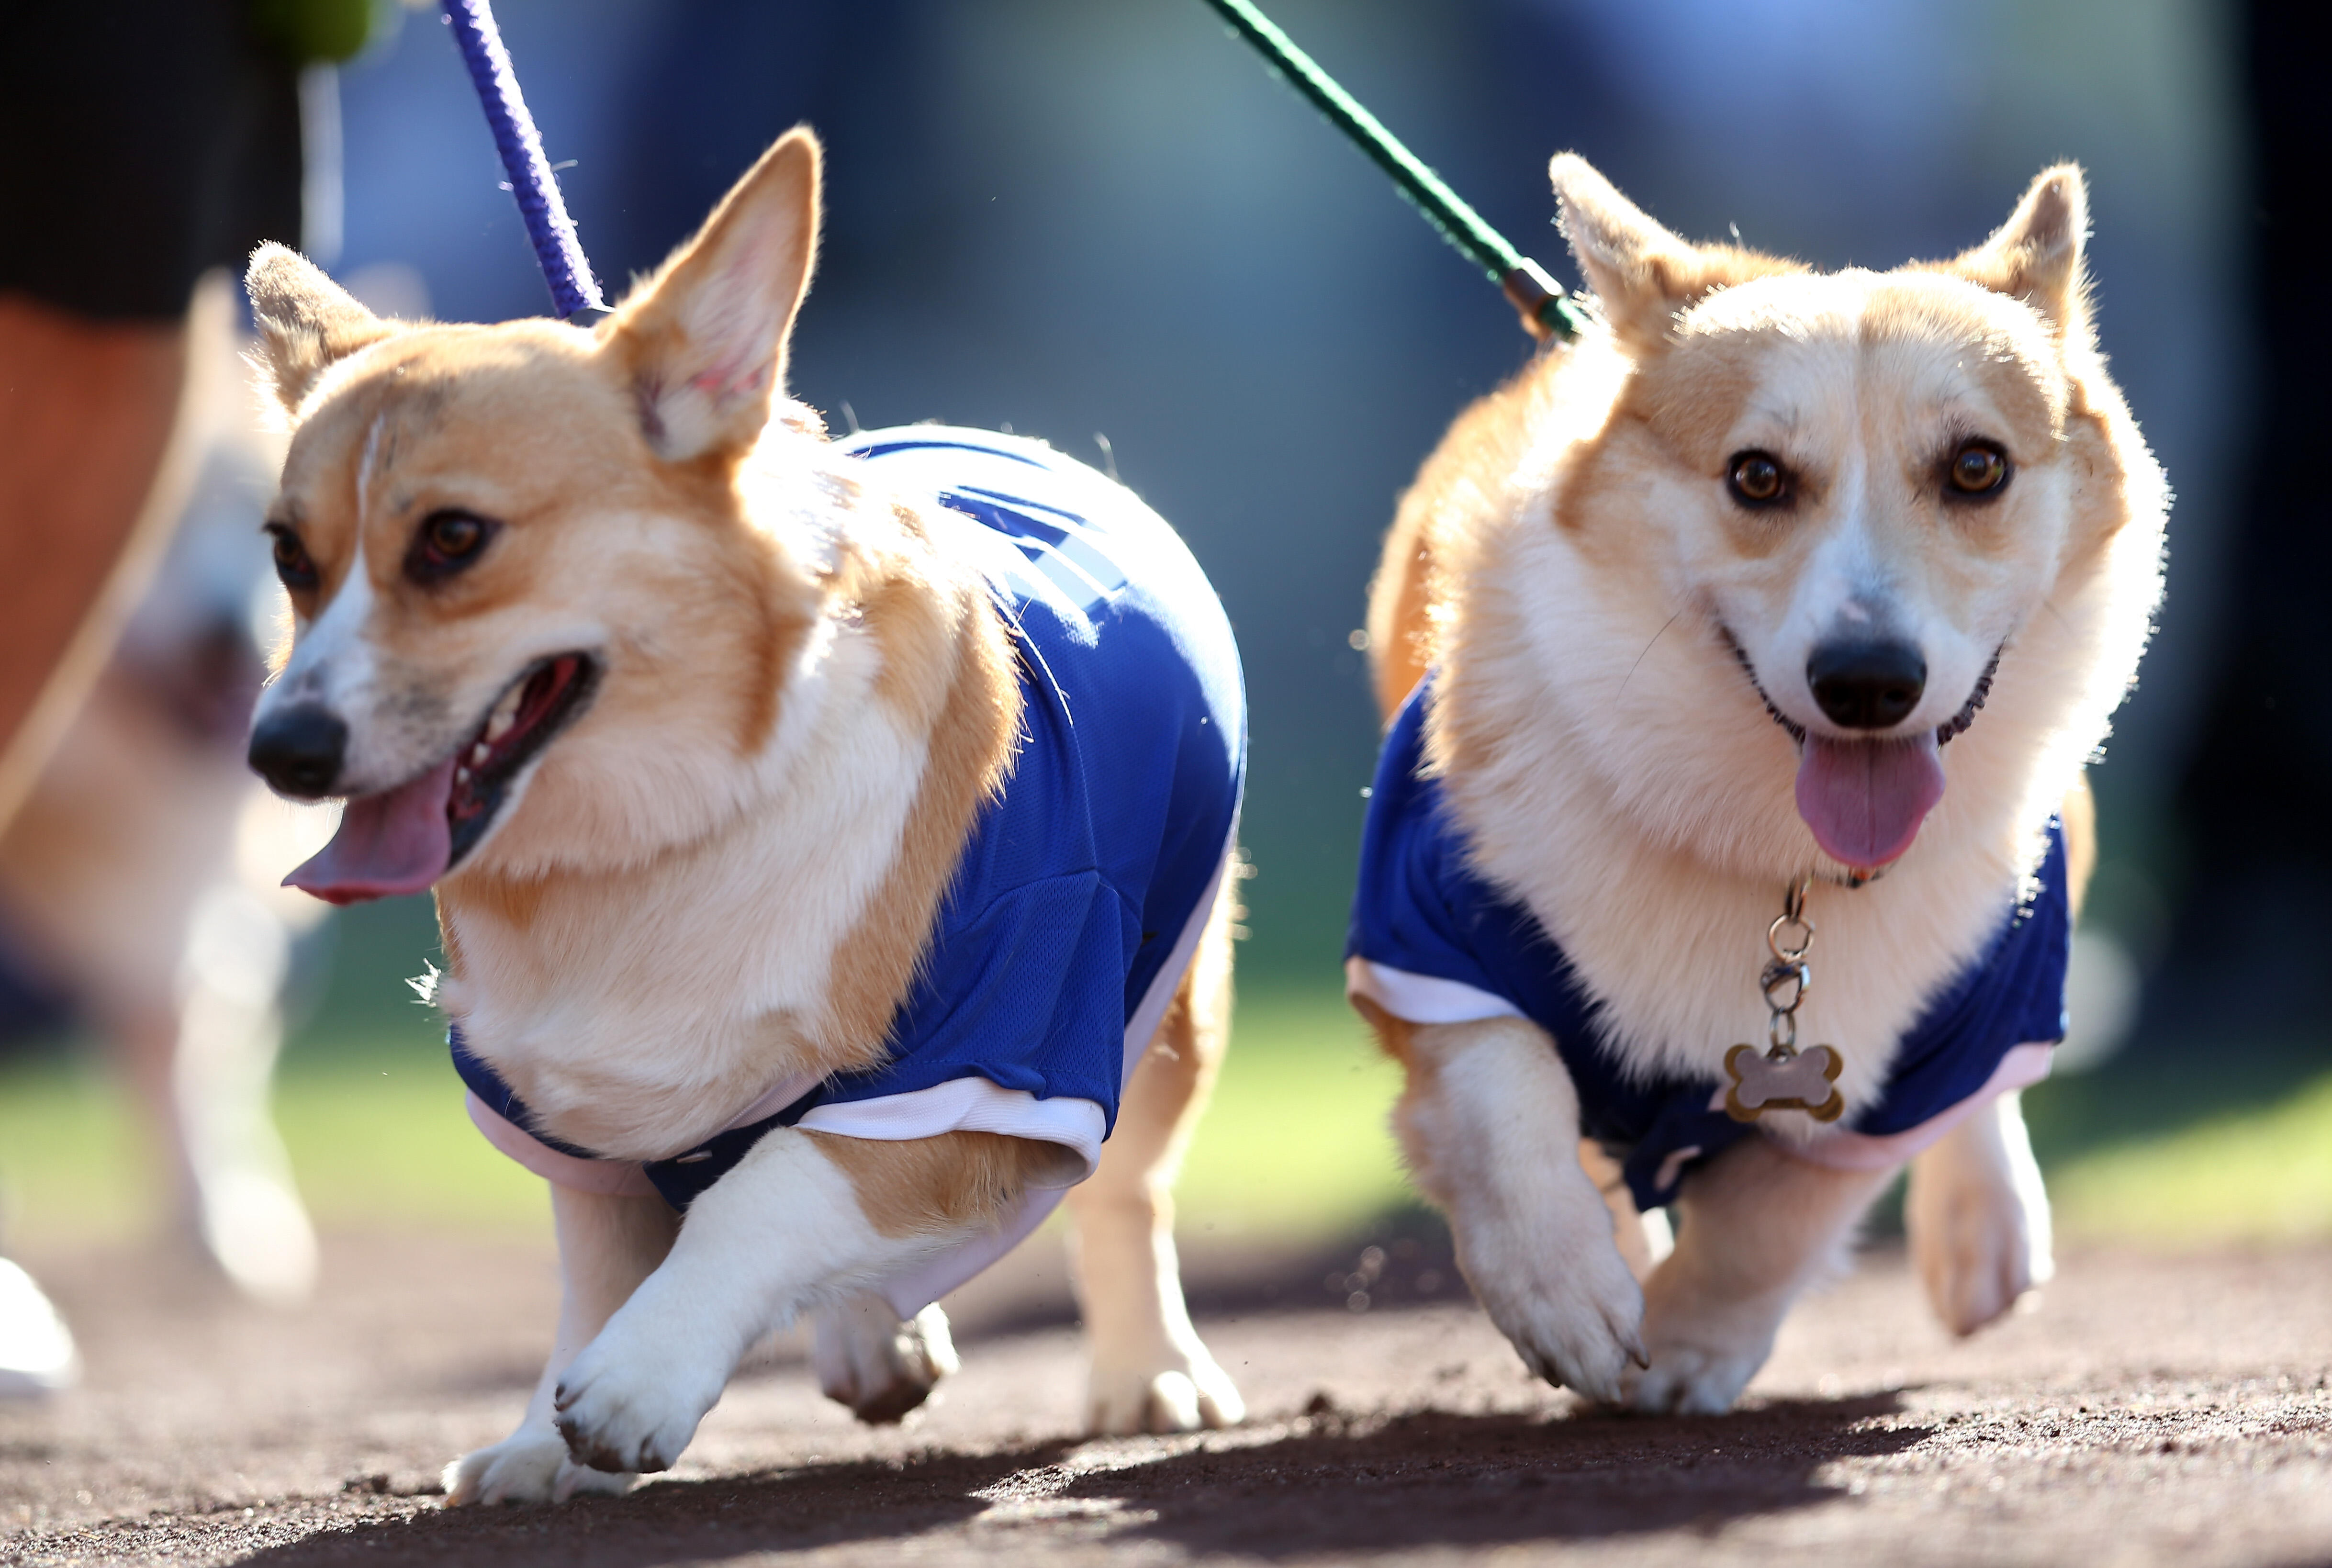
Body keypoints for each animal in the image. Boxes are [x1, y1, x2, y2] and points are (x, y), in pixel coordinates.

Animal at [239, 128, 1259, 1502]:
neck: (666, 833)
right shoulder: (570, 1119)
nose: (279, 752)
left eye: (455, 538)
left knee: (1127, 1191)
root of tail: (1007, 439)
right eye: (291, 557)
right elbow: (600, 1273)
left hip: (1168, 1014)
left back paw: (1148, 1373)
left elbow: (767, 1190)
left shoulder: (990, 1067)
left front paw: (634, 1382)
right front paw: (542, 1441)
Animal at [1352, 153, 2164, 1419]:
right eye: (1758, 476)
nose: (1869, 683)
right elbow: (1505, 1092)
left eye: (1978, 466)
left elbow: (1776, 1218)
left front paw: (1685, 1347)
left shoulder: (1889, 1085)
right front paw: (1571, 1292)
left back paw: (1987, 1234)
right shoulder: (1424, 938)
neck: (1776, 863)